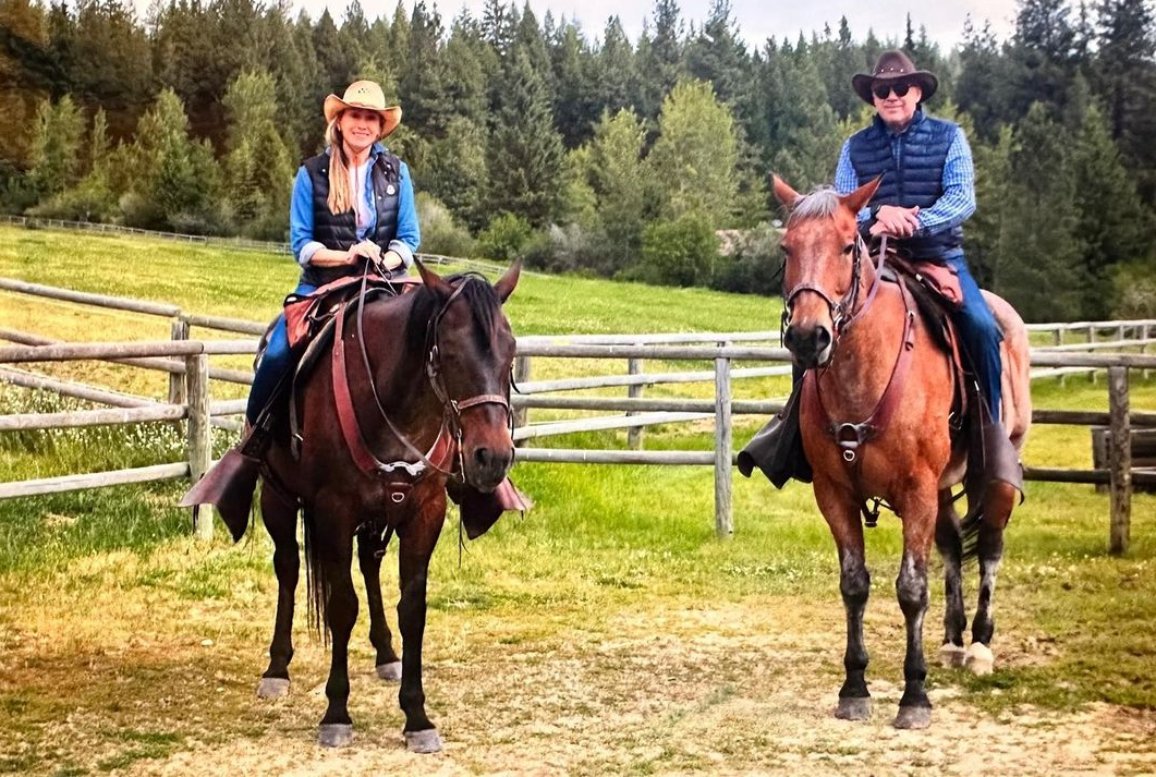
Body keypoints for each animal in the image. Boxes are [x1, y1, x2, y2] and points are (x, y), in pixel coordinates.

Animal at [257, 262, 524, 753]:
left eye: (510, 351)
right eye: (450, 352)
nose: (492, 456)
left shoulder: (424, 512)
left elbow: (412, 611)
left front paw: (417, 716)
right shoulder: (333, 511)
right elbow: (342, 607)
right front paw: (336, 712)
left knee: (369, 565)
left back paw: (385, 653)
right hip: (277, 498)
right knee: (287, 567)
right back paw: (277, 668)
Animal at [776, 175, 1031, 730]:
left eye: (847, 247)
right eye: (786, 249)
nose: (808, 336)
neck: (863, 373)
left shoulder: (915, 489)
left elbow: (912, 588)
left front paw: (914, 696)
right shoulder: (836, 494)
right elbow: (855, 584)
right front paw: (854, 687)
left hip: (993, 478)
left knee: (991, 548)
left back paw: (979, 645)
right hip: (941, 490)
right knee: (954, 548)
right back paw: (954, 640)